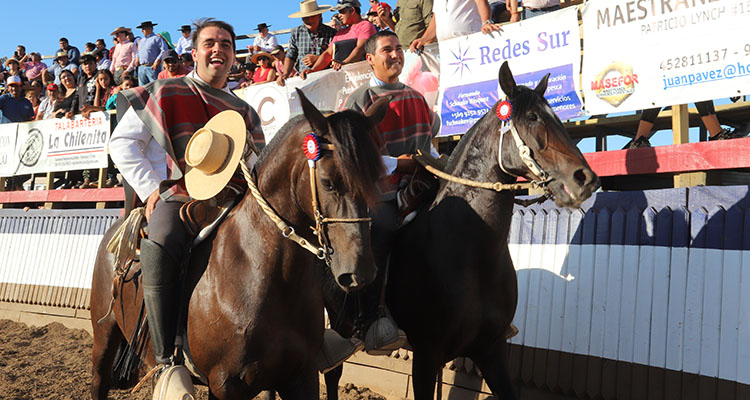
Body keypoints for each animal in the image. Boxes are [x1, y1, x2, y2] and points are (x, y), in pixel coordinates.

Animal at [91, 90, 390, 400]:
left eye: (375, 179)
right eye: (328, 182)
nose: (360, 271)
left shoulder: (301, 375)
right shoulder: (227, 384)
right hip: (104, 340)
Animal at [320, 61, 604, 398]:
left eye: (556, 117)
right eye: (533, 118)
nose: (584, 178)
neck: (471, 251)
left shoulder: (491, 350)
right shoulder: (426, 355)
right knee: (332, 375)